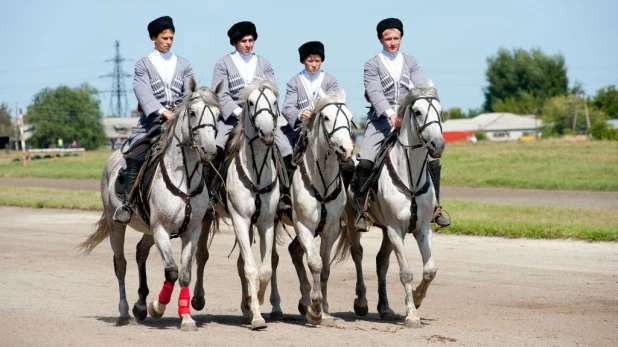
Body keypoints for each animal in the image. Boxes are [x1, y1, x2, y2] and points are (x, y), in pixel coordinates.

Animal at [78, 79, 220, 332]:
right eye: (193, 113)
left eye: (218, 114)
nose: (210, 150)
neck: (184, 178)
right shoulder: (161, 229)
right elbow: (171, 271)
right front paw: (158, 306)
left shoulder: (192, 231)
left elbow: (184, 273)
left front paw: (186, 317)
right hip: (117, 226)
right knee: (120, 265)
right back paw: (125, 312)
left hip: (147, 229)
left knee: (140, 252)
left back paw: (140, 305)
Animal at [192, 79, 282, 332]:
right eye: (250, 102)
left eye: (274, 101)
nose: (267, 132)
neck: (256, 170)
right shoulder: (240, 220)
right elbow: (251, 268)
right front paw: (258, 316)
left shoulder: (265, 223)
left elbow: (264, 270)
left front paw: (254, 303)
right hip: (206, 218)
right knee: (201, 255)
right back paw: (198, 299)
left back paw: (246, 309)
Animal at [280, 90, 352, 326]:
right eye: (327, 118)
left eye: (349, 117)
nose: (347, 149)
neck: (322, 182)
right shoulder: (304, 226)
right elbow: (315, 263)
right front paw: (316, 308)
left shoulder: (331, 229)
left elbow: (326, 267)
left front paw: (325, 309)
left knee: (293, 251)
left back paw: (303, 301)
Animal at [334, 81, 446, 328]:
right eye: (417, 111)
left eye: (440, 110)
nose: (438, 144)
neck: (410, 177)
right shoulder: (396, 230)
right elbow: (406, 272)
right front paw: (412, 315)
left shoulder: (422, 229)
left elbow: (430, 270)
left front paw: (417, 298)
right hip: (355, 223)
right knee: (358, 255)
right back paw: (362, 302)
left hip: (386, 231)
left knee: (381, 263)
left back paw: (384, 308)